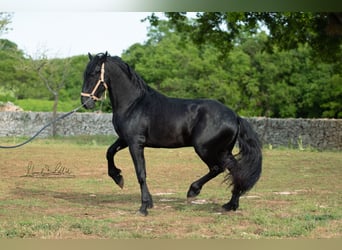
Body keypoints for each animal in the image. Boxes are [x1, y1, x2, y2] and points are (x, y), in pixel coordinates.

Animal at [81, 52, 262, 215]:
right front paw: (118, 178)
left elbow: (141, 173)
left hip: (205, 149)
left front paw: (144, 207)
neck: (134, 104)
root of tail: (235, 116)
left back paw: (194, 191)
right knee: (236, 171)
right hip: (223, 151)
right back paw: (230, 205)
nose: (85, 102)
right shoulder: (125, 139)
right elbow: (109, 152)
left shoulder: (135, 143)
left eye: (95, 71)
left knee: (219, 168)